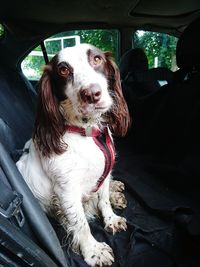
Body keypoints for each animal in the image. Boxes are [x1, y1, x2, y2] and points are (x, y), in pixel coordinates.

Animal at [16, 43, 130, 266]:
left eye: (97, 59)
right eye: (63, 70)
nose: (92, 94)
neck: (86, 131)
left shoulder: (103, 174)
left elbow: (103, 199)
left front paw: (111, 218)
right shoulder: (67, 190)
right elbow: (81, 223)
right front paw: (94, 251)